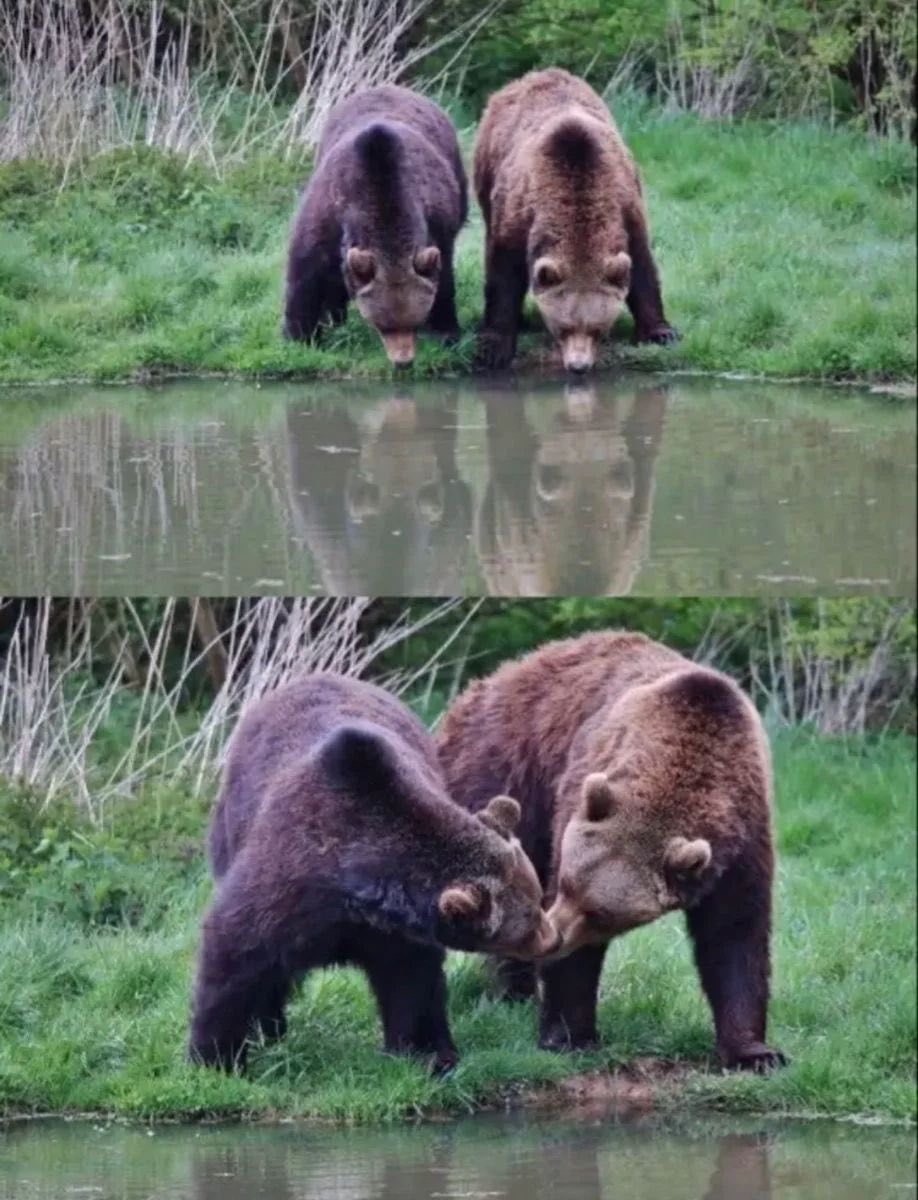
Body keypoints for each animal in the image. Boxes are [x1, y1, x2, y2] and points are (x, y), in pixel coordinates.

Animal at [189, 672, 557, 1074]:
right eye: (528, 920)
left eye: (537, 897)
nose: (553, 938)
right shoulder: (287, 884)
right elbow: (236, 954)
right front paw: (215, 1057)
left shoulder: (395, 932)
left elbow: (410, 981)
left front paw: (428, 1053)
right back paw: (269, 1028)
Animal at [283, 85, 467, 366]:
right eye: (382, 325)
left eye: (414, 322)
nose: (403, 362)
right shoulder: (326, 215)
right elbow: (305, 275)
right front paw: (300, 337)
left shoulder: (437, 223)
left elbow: (443, 279)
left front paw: (446, 333)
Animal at [437, 631, 786, 1072]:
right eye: (565, 884)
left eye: (599, 912)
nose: (554, 938)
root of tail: (487, 681)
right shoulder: (578, 789)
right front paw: (569, 1036)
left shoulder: (744, 836)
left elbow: (735, 933)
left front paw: (755, 1053)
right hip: (506, 772)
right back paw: (515, 991)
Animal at [472, 68, 678, 372]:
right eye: (562, 328)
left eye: (597, 329)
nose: (578, 366)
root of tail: (536, 75)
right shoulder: (518, 213)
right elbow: (503, 272)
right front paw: (493, 347)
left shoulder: (626, 207)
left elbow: (643, 268)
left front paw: (661, 333)